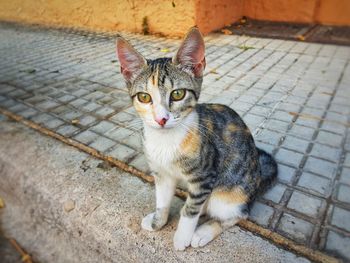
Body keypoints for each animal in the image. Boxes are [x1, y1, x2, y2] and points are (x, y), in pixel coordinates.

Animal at [116, 26, 278, 252]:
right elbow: (162, 201)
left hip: (228, 193)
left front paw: (182, 237)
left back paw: (203, 232)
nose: (161, 119)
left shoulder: (205, 176)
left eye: (177, 94)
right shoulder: (162, 174)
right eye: (144, 97)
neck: (166, 140)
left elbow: (190, 210)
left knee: (239, 213)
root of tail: (258, 177)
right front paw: (158, 221)